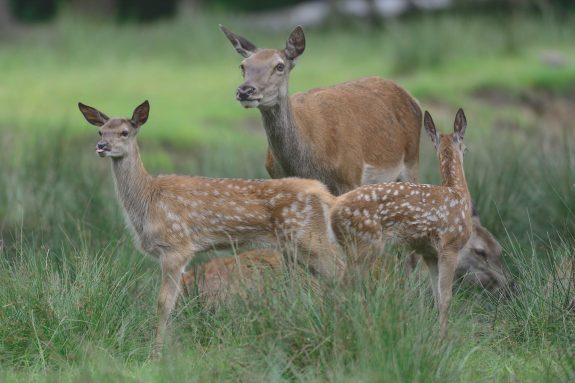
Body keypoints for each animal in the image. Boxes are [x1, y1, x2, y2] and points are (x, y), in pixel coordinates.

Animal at [79, 100, 344, 358]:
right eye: (100, 131)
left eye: (124, 132)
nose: (101, 146)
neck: (148, 200)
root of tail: (325, 194)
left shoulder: (177, 246)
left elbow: (164, 303)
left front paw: (156, 354)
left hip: (310, 238)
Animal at [332, 109, 472, 340]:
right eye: (465, 146)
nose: (467, 151)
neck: (458, 193)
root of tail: (332, 210)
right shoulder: (450, 245)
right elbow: (446, 299)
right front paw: (443, 339)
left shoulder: (429, 253)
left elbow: (436, 297)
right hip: (364, 244)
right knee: (342, 287)